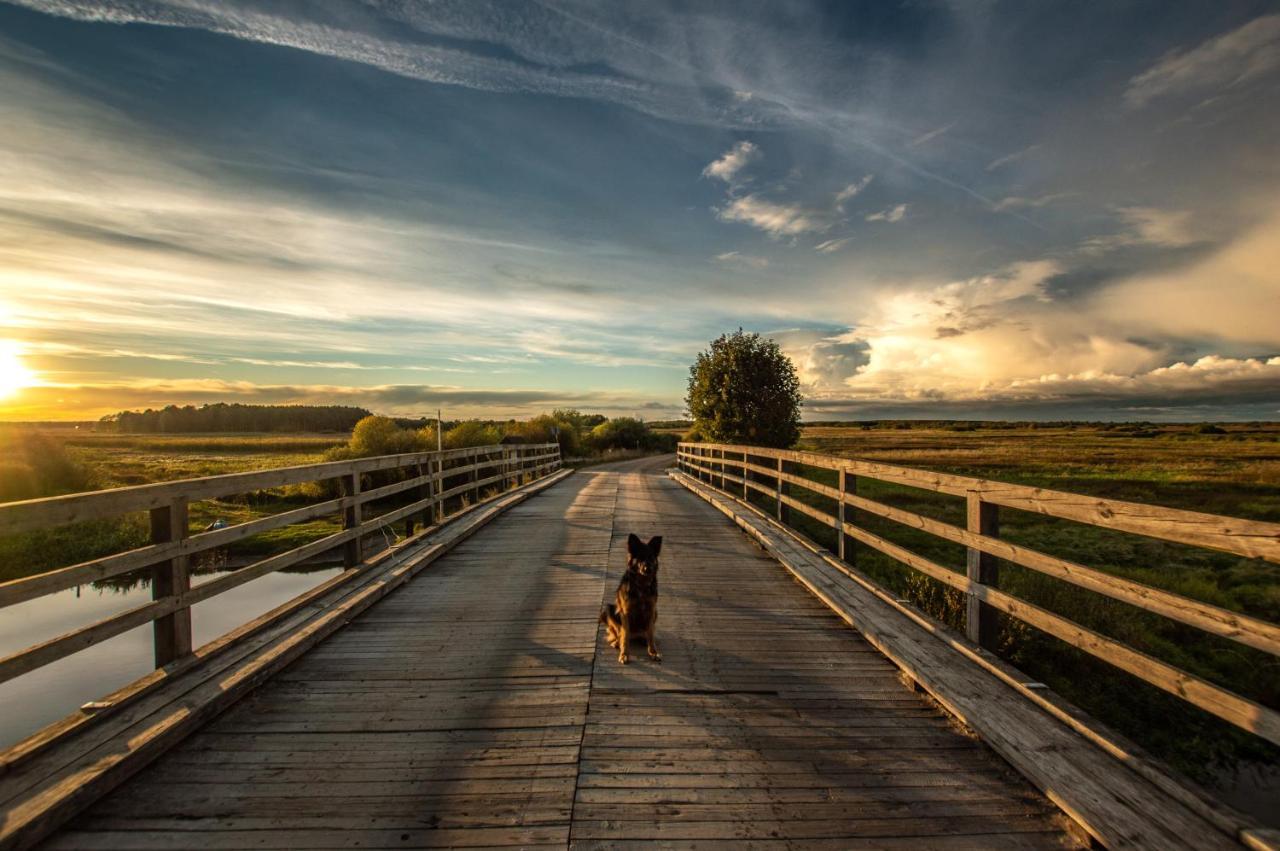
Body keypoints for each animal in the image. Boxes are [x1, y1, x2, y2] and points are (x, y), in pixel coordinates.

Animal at [599, 532, 660, 665]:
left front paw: (653, 652)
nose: (648, 569)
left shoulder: (651, 610)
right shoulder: (625, 612)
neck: (642, 585)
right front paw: (624, 654)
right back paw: (617, 642)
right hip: (609, 609)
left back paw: (643, 639)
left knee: (645, 632)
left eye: (651, 557)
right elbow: (625, 636)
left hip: (655, 613)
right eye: (640, 557)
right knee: (619, 634)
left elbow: (651, 634)